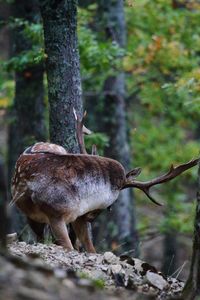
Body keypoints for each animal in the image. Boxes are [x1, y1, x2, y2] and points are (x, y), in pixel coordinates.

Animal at [10, 110, 198, 253]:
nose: (93, 216)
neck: (81, 197)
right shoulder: (55, 213)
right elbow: (68, 246)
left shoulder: (78, 217)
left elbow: (90, 248)